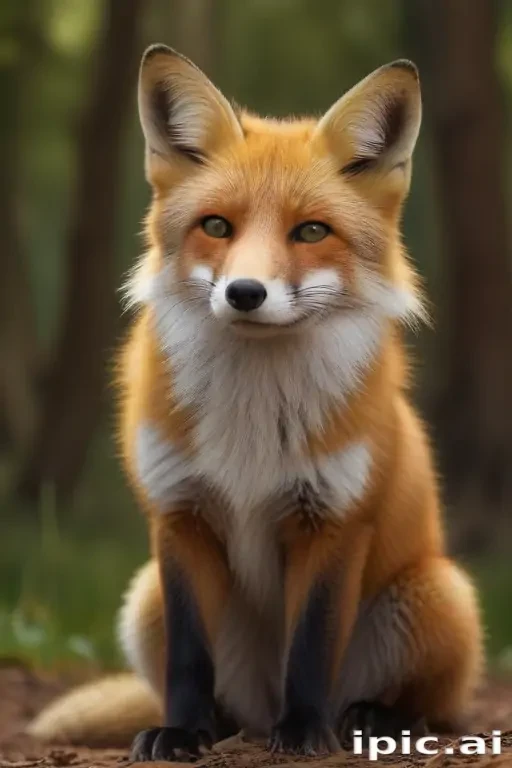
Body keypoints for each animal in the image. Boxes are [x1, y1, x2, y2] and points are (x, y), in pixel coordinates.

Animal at [28, 45, 484, 760]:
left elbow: (312, 645)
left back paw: (371, 719)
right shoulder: (179, 515)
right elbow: (189, 656)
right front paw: (181, 732)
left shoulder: (333, 520)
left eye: (312, 231)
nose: (245, 292)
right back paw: (219, 726)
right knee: (220, 698)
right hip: (143, 597)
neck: (252, 417)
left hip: (440, 592)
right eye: (217, 226)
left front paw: (305, 733)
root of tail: (258, 708)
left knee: (441, 712)